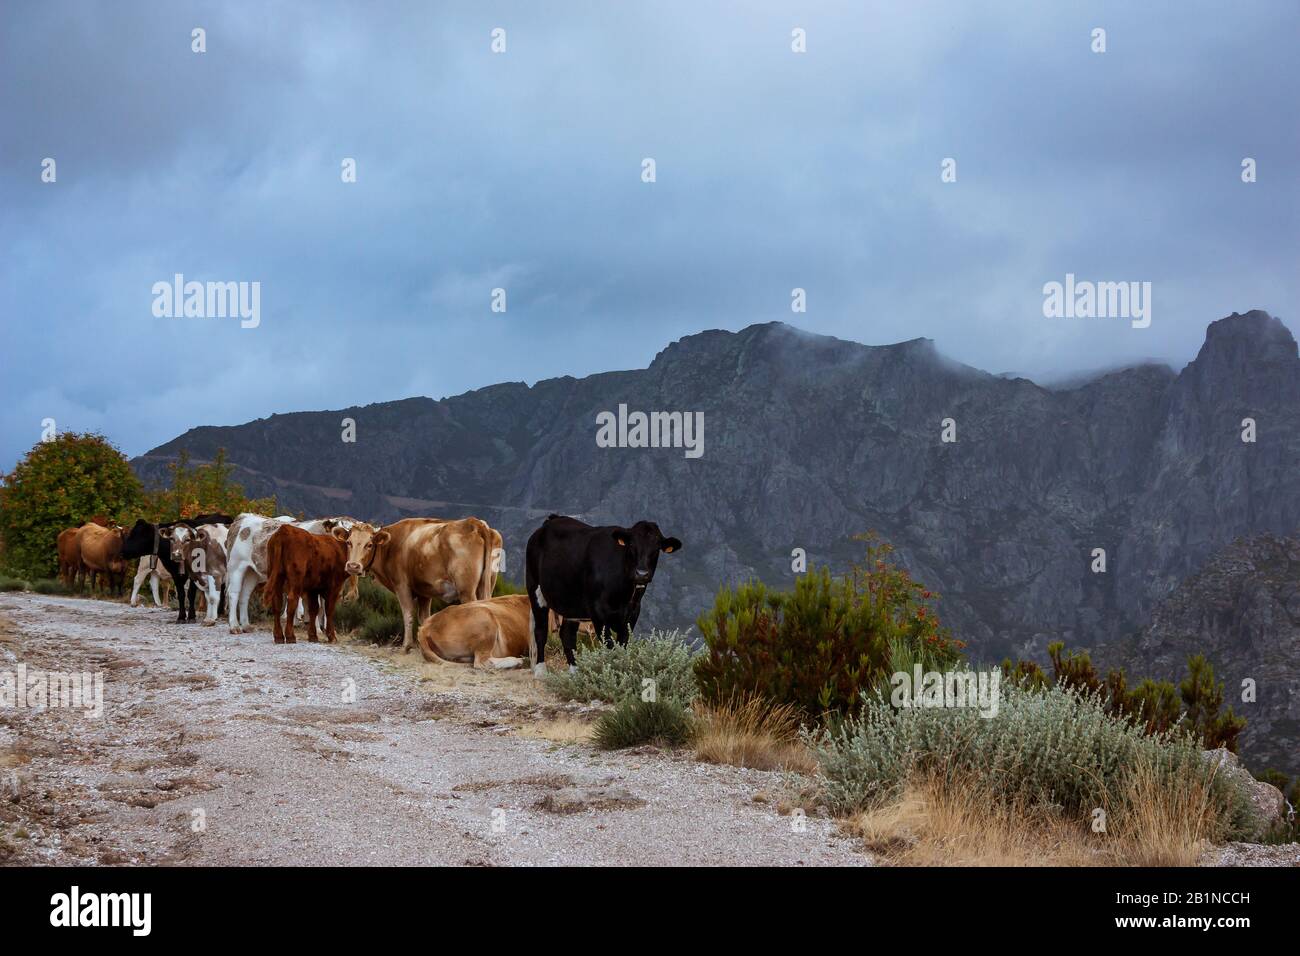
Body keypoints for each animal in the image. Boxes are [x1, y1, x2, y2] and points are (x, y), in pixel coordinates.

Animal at [330, 520, 501, 655]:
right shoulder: (425, 592)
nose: (353, 566)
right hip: (487, 584)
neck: (391, 546)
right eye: (349, 542)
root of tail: (475, 523)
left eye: (369, 544)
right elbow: (425, 618)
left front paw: (406, 647)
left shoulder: (402, 586)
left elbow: (408, 614)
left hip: (466, 590)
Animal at [520, 512, 681, 676]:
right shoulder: (597, 612)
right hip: (535, 588)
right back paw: (541, 671)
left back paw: (575, 672)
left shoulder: (632, 613)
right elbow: (609, 646)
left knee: (567, 635)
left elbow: (622, 646)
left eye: (656, 548)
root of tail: (552, 520)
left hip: (571, 604)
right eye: (631, 546)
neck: (623, 595)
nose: (641, 574)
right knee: (540, 631)